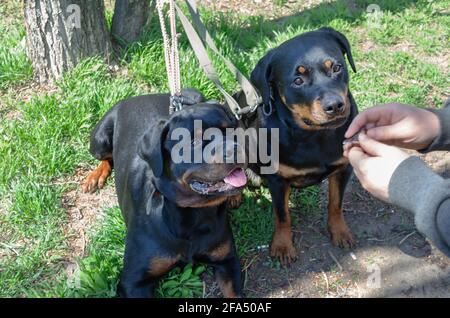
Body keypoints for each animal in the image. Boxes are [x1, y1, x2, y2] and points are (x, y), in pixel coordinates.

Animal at [82, 90, 248, 298]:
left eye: (231, 131)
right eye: (194, 141)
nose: (235, 149)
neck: (193, 214)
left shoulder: (227, 260)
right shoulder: (134, 281)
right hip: (100, 139)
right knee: (106, 157)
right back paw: (95, 176)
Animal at [246, 27, 358, 264]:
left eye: (337, 67)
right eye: (297, 81)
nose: (335, 105)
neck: (314, 136)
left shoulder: (344, 168)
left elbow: (336, 203)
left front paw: (340, 232)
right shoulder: (277, 180)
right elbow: (282, 215)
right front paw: (282, 246)